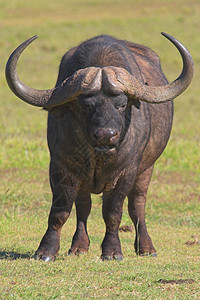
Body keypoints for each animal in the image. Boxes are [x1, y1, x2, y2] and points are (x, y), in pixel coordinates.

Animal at [5, 33, 194, 260]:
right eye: (85, 105)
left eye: (122, 104)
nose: (106, 135)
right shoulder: (60, 167)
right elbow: (60, 211)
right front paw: (46, 250)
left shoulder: (127, 172)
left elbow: (113, 212)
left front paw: (112, 251)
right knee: (83, 207)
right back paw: (78, 247)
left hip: (147, 169)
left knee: (137, 206)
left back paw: (146, 248)